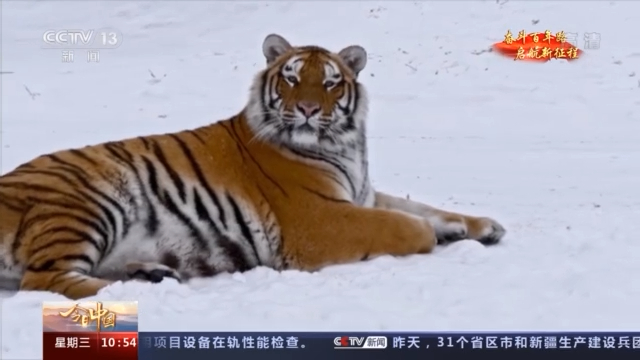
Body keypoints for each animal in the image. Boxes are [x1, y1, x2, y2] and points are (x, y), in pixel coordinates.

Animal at [0, 33, 504, 300]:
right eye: (292, 78)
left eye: (331, 83)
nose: (306, 110)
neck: (344, 147)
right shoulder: (317, 219)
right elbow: (406, 223)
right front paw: (435, 235)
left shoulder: (362, 192)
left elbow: (421, 207)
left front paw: (479, 226)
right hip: (91, 199)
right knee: (40, 279)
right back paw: (143, 291)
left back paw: (154, 275)